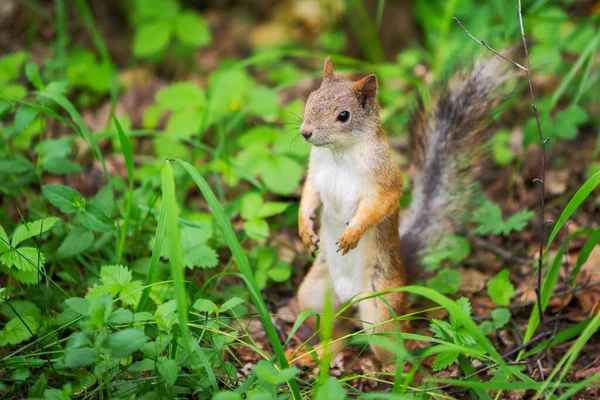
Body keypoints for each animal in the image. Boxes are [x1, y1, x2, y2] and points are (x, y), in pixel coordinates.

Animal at [292, 55, 508, 362]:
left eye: (343, 115)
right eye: (311, 98)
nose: (306, 132)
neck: (338, 153)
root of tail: (348, 297)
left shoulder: (386, 181)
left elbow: (381, 205)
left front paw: (352, 234)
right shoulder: (315, 173)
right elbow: (308, 196)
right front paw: (305, 229)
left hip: (381, 309)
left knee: (393, 347)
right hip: (312, 295)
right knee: (334, 331)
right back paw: (315, 352)